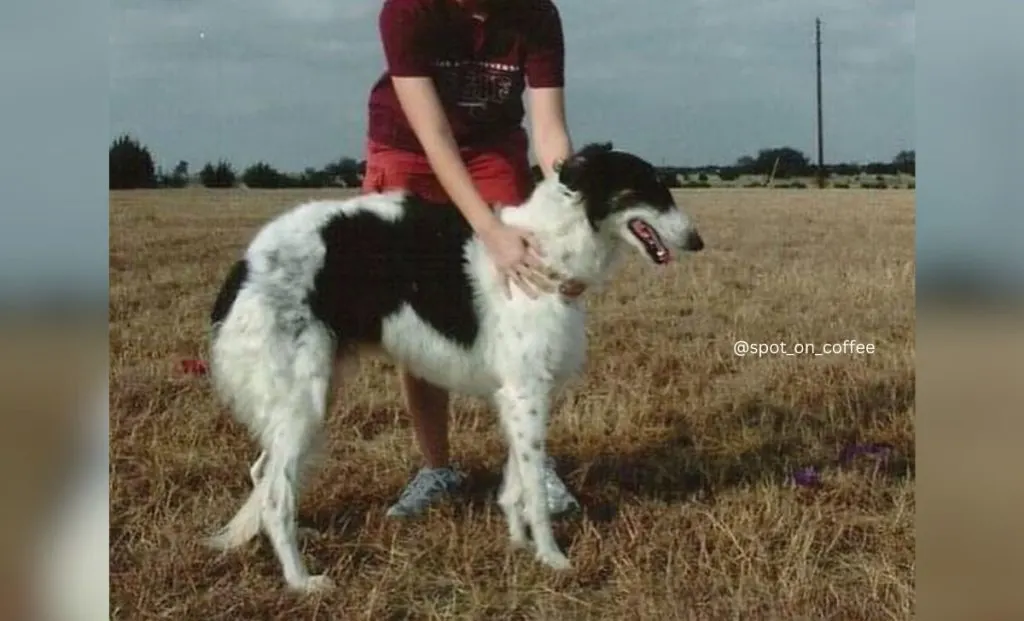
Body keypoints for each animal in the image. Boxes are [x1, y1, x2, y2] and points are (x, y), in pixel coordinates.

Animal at [204, 142, 708, 594]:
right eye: (649, 187)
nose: (697, 241)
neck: (546, 248)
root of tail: (245, 265)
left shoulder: (515, 396)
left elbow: (515, 484)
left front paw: (519, 544)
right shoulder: (526, 393)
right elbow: (532, 489)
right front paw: (552, 557)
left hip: (312, 394)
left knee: (263, 472)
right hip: (302, 397)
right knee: (274, 494)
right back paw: (301, 579)